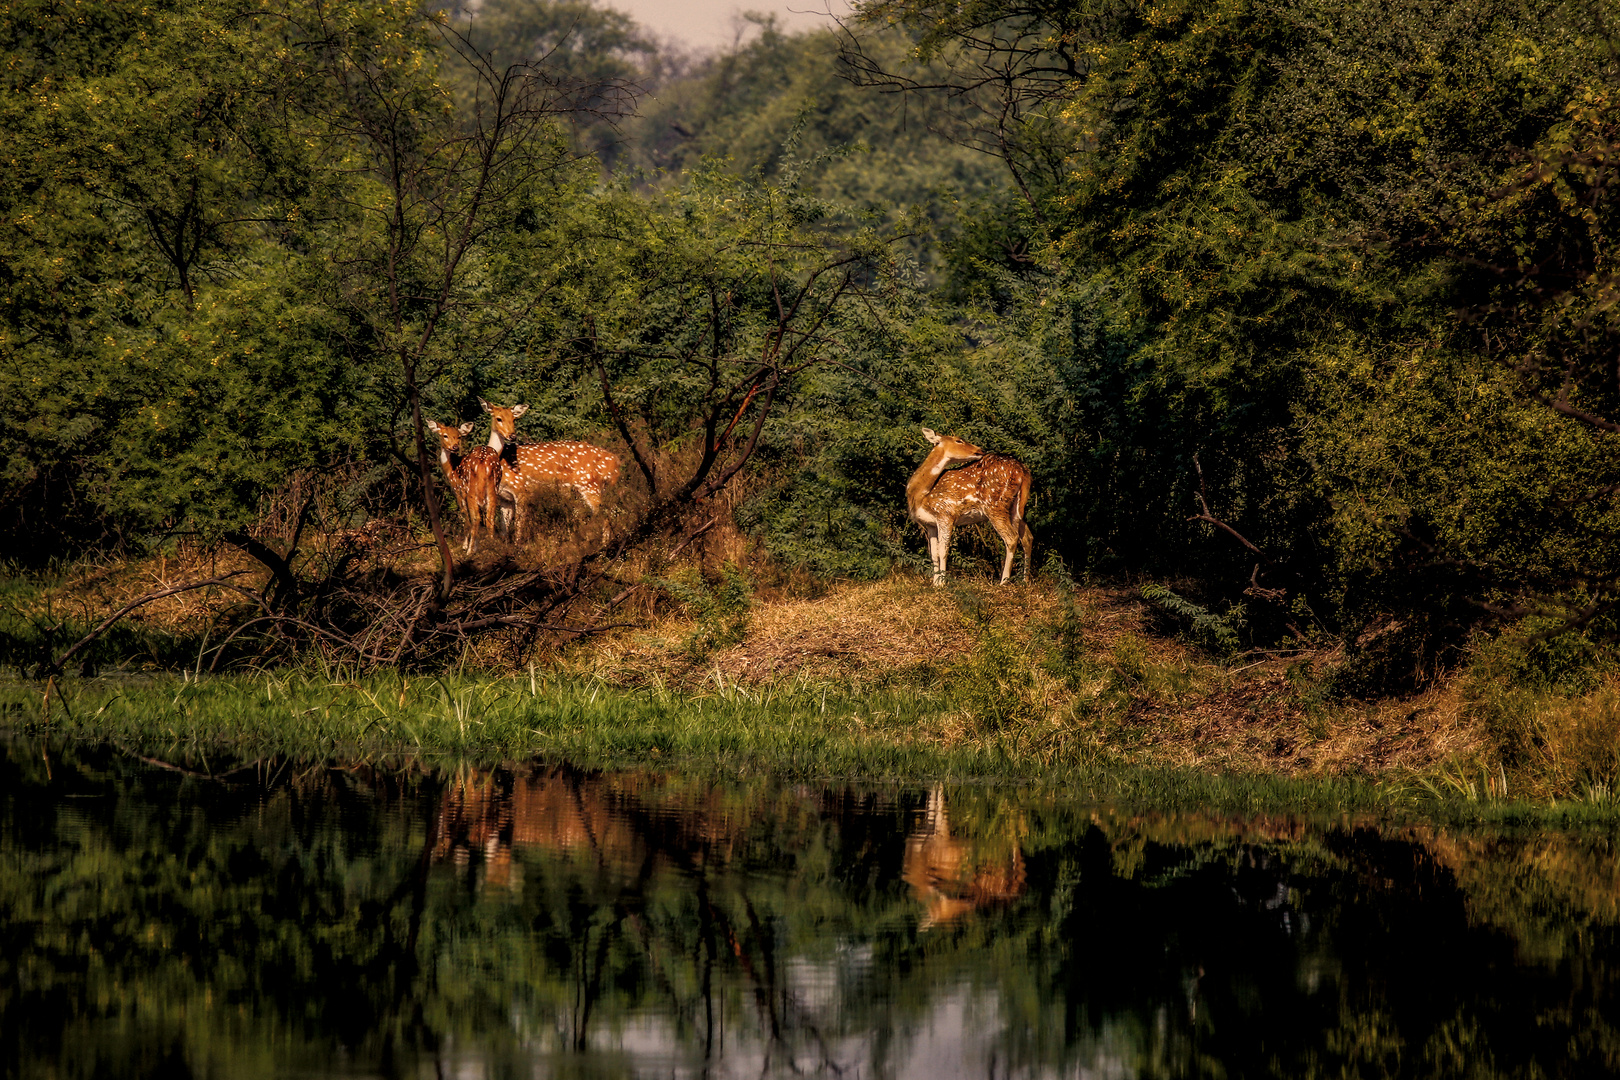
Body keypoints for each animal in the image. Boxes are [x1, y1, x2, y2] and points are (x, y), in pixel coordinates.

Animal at [421, 420, 502, 557]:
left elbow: (465, 516)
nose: (455, 447)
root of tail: (484, 463)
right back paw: (492, 546)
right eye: (445, 435)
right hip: (493, 488)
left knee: (476, 518)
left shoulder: (458, 491)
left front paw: (465, 545)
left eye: (459, 436)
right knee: (490, 518)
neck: (451, 470)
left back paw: (469, 551)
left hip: (471, 491)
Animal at [476, 401, 622, 544]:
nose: (512, 436)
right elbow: (504, 528)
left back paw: (604, 546)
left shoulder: (522, 490)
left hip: (590, 485)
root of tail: (615, 462)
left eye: (514, 419)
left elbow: (519, 525)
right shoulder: (505, 498)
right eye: (498, 418)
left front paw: (518, 547)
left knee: (605, 514)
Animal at [907, 427, 1030, 586]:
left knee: (1011, 537)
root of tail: (1023, 470)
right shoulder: (930, 523)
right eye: (958, 440)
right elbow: (934, 553)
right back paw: (1025, 581)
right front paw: (935, 583)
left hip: (995, 504)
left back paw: (1003, 582)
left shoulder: (945, 513)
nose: (980, 449)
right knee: (1027, 537)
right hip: (1015, 507)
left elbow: (943, 550)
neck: (920, 495)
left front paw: (942, 583)